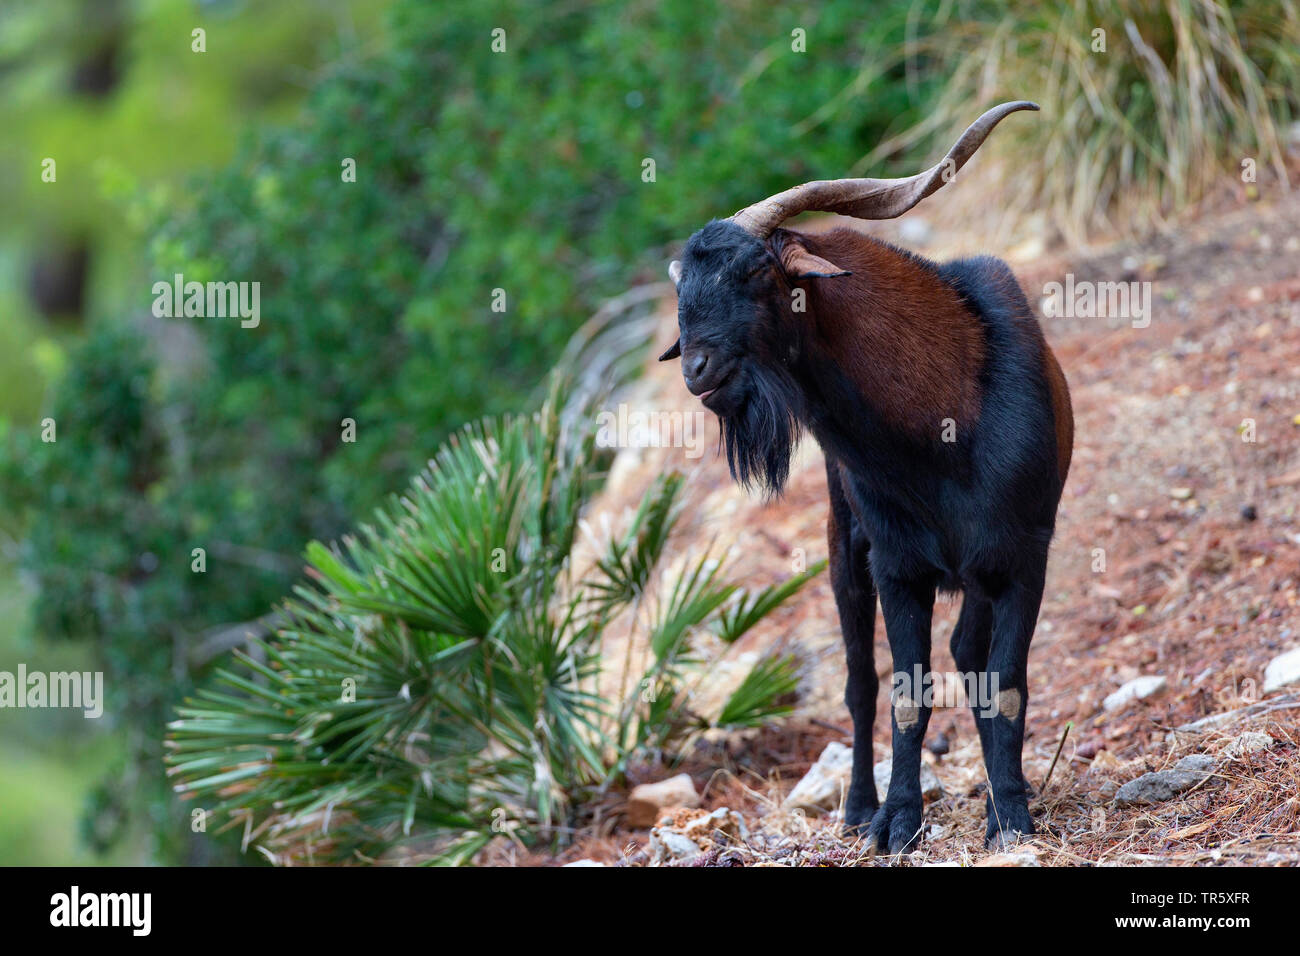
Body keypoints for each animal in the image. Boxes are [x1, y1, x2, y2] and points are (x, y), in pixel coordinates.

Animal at [665, 102, 1071, 853]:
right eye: (685, 286)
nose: (697, 370)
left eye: (755, 272)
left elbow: (1004, 684)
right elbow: (905, 695)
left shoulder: (1023, 558)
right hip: (842, 546)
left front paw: (1010, 815)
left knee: (967, 656)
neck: (945, 428)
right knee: (860, 684)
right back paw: (857, 805)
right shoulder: (897, 567)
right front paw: (897, 821)